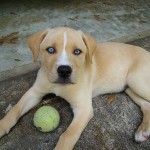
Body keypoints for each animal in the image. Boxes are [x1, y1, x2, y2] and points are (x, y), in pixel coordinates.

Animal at [0, 27, 150, 150]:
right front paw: (2, 126)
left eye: (77, 51)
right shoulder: (35, 92)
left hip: (136, 81)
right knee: (146, 104)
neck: (60, 86)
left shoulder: (83, 109)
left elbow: (67, 135)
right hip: (129, 87)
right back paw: (142, 131)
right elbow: (15, 110)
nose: (64, 71)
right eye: (50, 49)